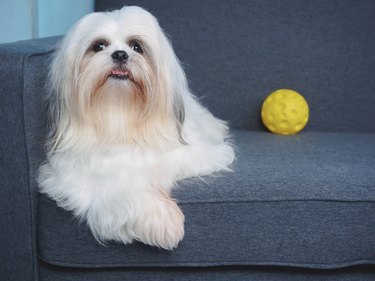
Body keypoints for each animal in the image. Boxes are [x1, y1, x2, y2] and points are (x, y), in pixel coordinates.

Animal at [37, 5, 235, 248]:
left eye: (136, 46)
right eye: (98, 46)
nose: (120, 54)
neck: (120, 114)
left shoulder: (192, 156)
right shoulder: (72, 176)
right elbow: (120, 186)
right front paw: (163, 221)